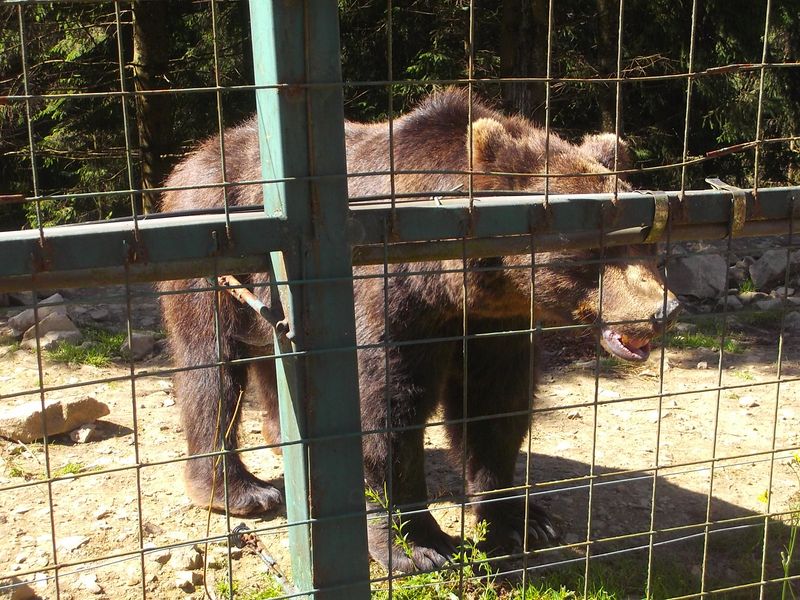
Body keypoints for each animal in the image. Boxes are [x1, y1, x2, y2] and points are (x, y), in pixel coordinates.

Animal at [158, 89, 680, 573]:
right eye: (593, 248)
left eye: (646, 241)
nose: (664, 309)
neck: (452, 288)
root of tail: (191, 159)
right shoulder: (391, 302)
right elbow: (384, 409)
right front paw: (420, 546)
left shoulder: (495, 324)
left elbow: (495, 406)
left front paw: (523, 520)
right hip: (214, 265)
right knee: (212, 370)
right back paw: (240, 490)